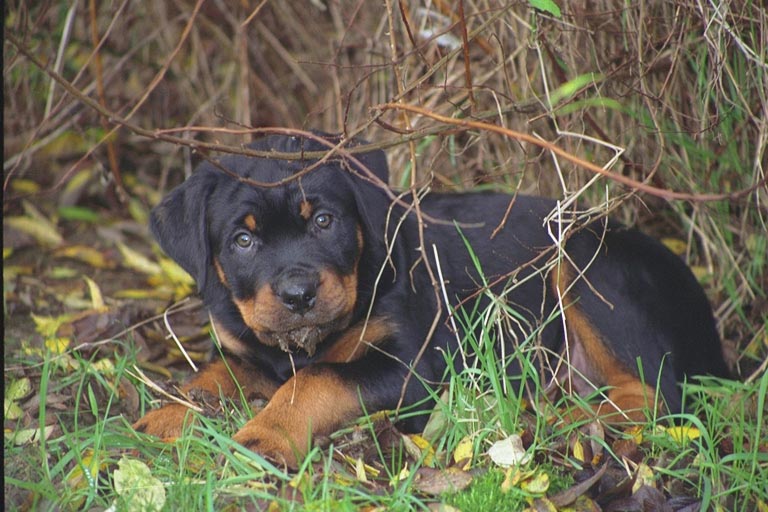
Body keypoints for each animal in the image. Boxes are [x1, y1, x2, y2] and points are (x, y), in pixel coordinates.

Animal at [135, 133, 728, 468]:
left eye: (324, 221)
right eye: (243, 241)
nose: (298, 295)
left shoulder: (411, 369)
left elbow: (317, 380)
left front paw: (264, 434)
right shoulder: (248, 349)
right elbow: (216, 374)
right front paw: (166, 416)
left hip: (585, 262)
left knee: (657, 394)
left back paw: (547, 416)